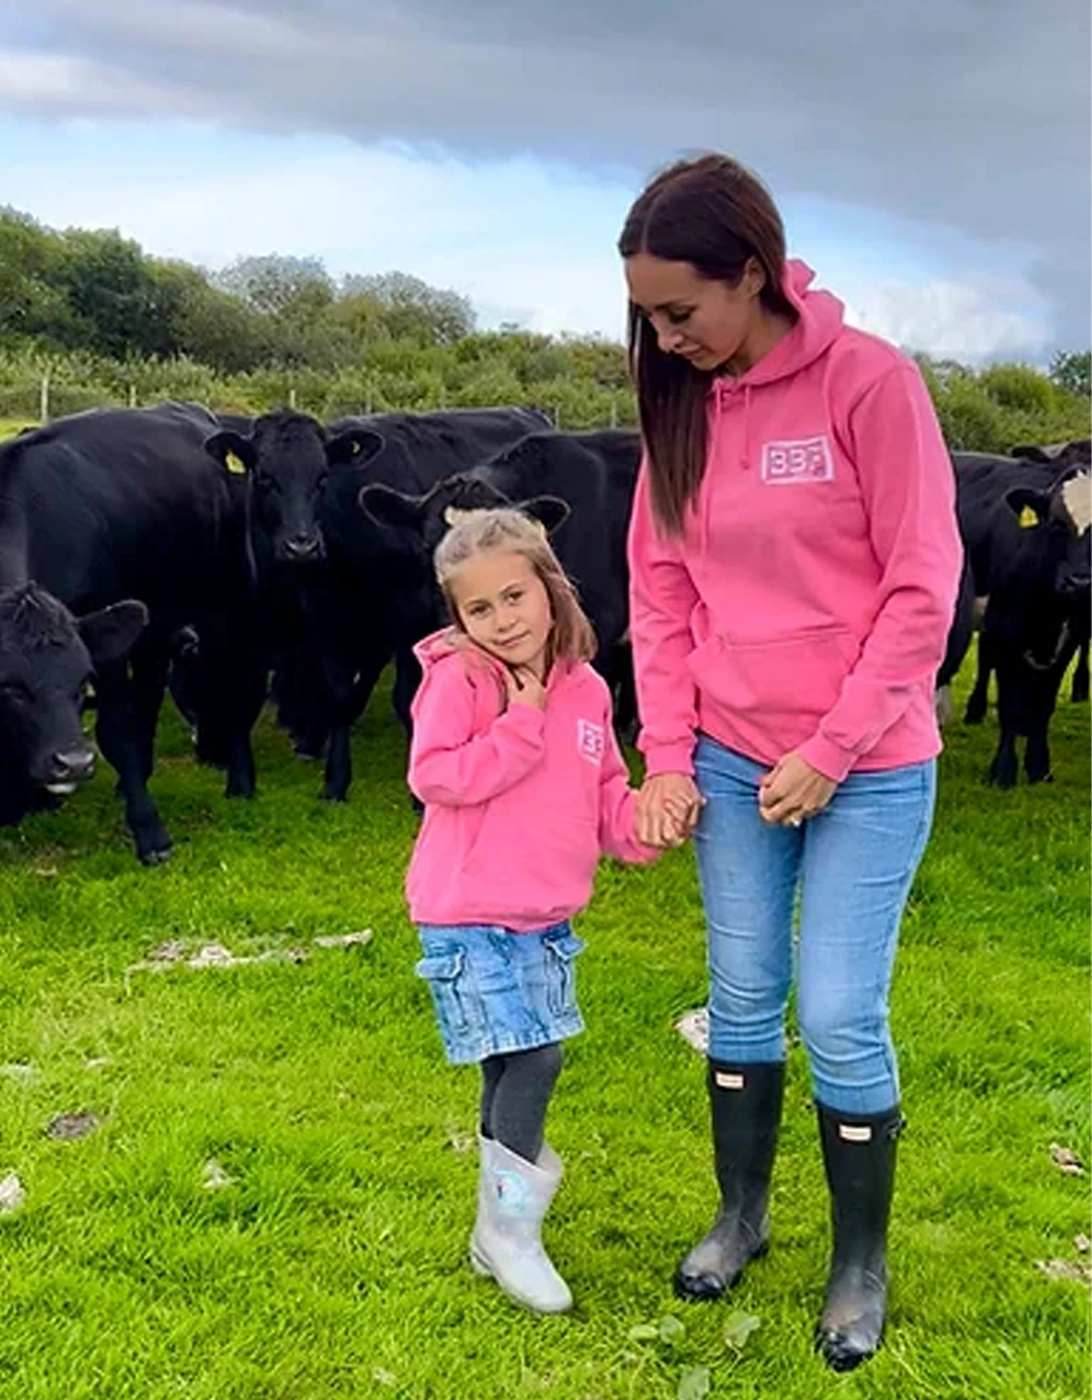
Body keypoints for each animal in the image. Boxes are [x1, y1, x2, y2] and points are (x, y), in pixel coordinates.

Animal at [0, 406, 264, 862]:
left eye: (81, 683)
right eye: (12, 688)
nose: (71, 762)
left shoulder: (104, 651)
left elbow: (115, 730)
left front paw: (150, 832)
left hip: (227, 601)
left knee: (232, 681)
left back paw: (240, 781)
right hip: (151, 626)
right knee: (151, 694)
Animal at [952, 448, 1086, 784]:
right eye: (1056, 524)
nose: (1080, 582)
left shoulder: (1070, 636)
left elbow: (1045, 702)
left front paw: (1039, 768)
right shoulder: (1006, 627)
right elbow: (1010, 702)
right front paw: (1002, 772)